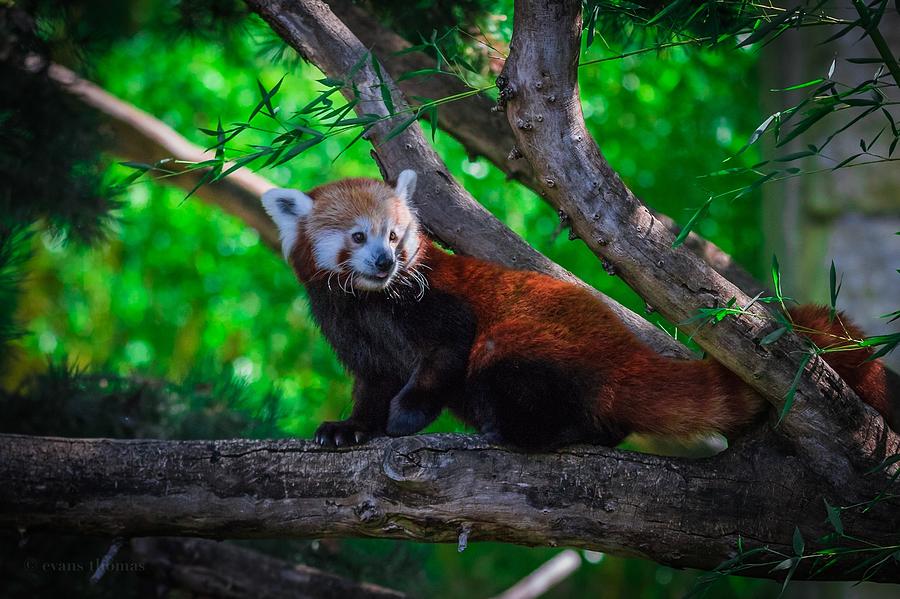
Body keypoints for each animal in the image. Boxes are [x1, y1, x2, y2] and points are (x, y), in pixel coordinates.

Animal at [260, 171, 892, 448]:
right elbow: (372, 381)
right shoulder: (350, 328)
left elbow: (446, 347)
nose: (386, 263)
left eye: (395, 236)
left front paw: (407, 414)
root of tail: (627, 354)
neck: (372, 302)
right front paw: (351, 428)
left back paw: (533, 431)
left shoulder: (435, 302)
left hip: (539, 347)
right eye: (358, 237)